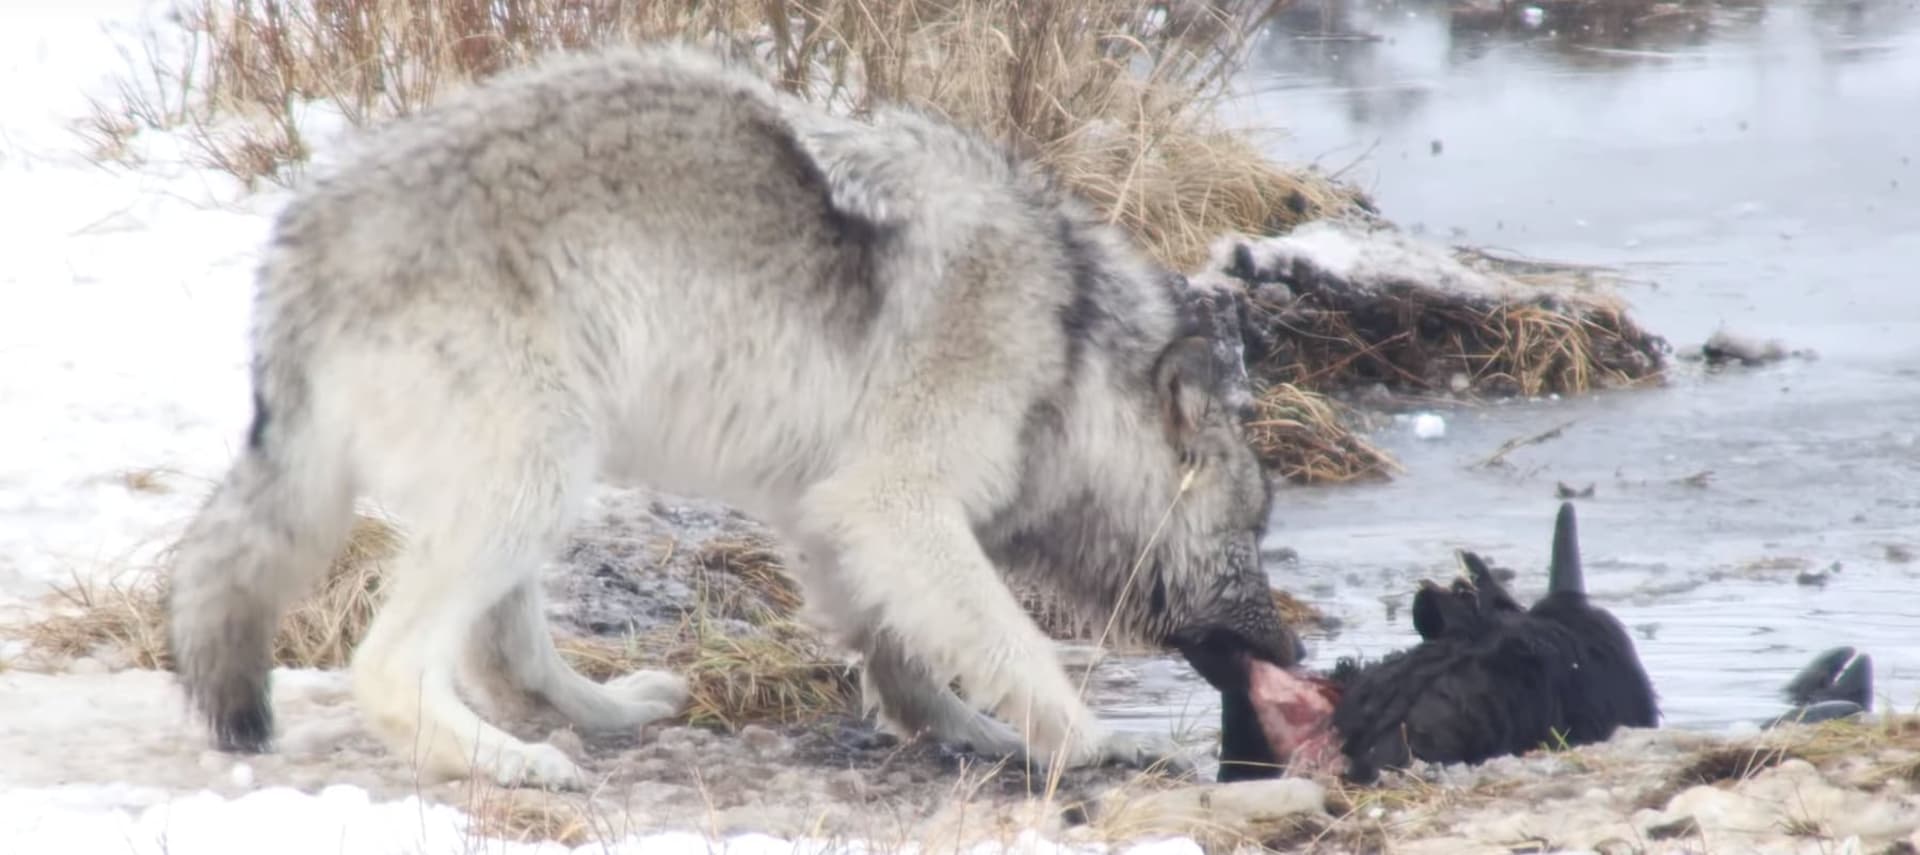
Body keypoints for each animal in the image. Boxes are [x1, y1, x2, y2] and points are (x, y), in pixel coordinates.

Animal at [162, 42, 1300, 789]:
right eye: (1251, 532)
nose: (1294, 654)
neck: (1065, 348)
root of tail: (298, 248)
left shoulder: (831, 514)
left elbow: (902, 654)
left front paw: (962, 730)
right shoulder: (896, 503)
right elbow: (1014, 644)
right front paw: (1093, 741)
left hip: (534, 482)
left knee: (502, 656)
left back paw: (605, 712)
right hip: (537, 471)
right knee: (393, 667)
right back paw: (513, 765)